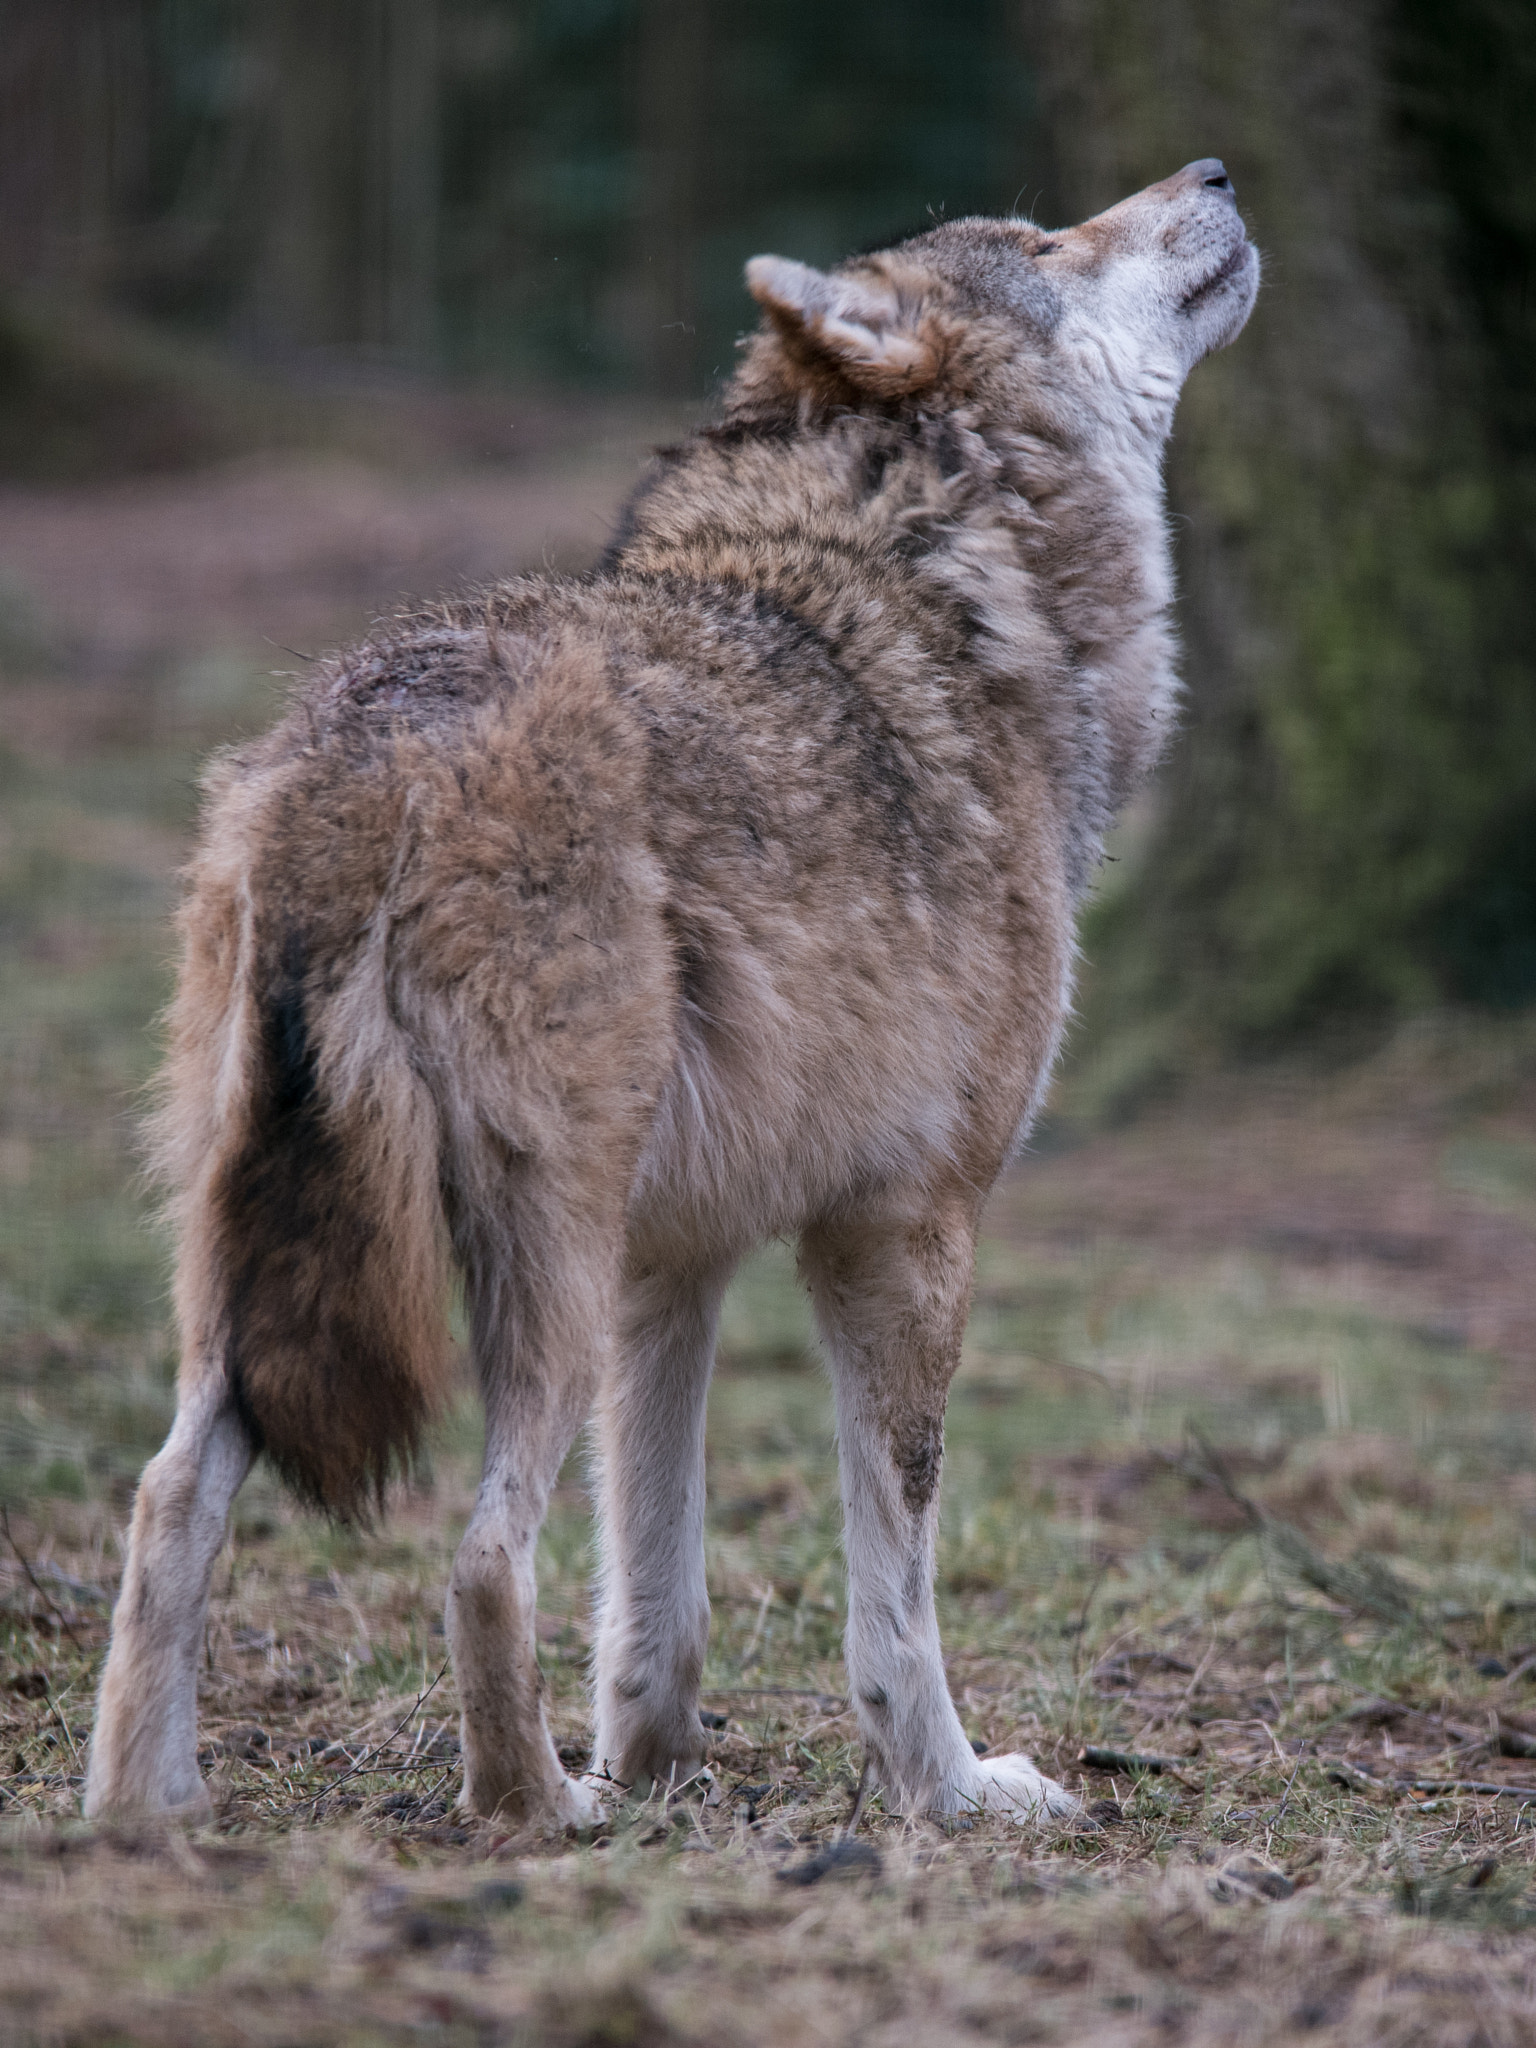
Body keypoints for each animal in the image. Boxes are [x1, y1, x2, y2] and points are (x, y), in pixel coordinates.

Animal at [83, 159, 1253, 1826]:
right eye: (1048, 241)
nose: (1213, 172)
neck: (945, 581)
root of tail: (370, 750)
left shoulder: (674, 1264)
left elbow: (656, 1588)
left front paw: (657, 1766)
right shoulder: (901, 1233)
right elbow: (894, 1600)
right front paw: (951, 1792)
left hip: (262, 1270)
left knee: (168, 1497)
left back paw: (153, 1812)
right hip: (535, 1273)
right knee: (479, 1558)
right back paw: (538, 1810)